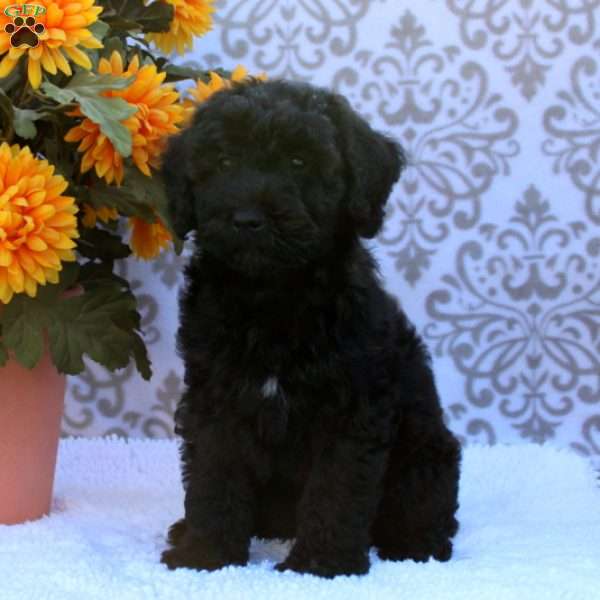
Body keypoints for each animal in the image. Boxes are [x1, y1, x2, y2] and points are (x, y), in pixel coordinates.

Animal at [158, 79, 460, 576]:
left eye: (299, 161)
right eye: (223, 162)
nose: (247, 220)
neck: (273, 298)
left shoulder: (352, 409)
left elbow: (336, 487)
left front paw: (322, 565)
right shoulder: (214, 400)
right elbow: (213, 476)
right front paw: (205, 554)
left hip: (426, 448)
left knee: (425, 504)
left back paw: (416, 546)